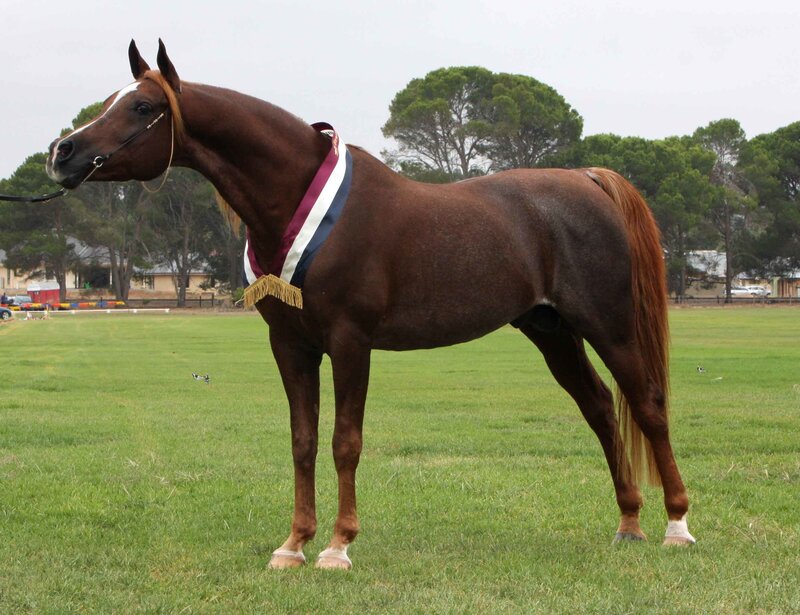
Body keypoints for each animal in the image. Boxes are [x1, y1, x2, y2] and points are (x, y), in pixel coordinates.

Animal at [46, 40, 695, 569]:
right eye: (114, 99)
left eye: (142, 107)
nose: (62, 152)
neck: (303, 205)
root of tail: (588, 178)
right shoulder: (292, 345)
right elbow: (303, 441)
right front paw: (293, 544)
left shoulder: (350, 342)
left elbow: (345, 442)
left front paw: (338, 546)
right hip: (551, 329)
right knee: (601, 409)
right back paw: (629, 522)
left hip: (608, 324)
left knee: (647, 405)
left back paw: (676, 525)